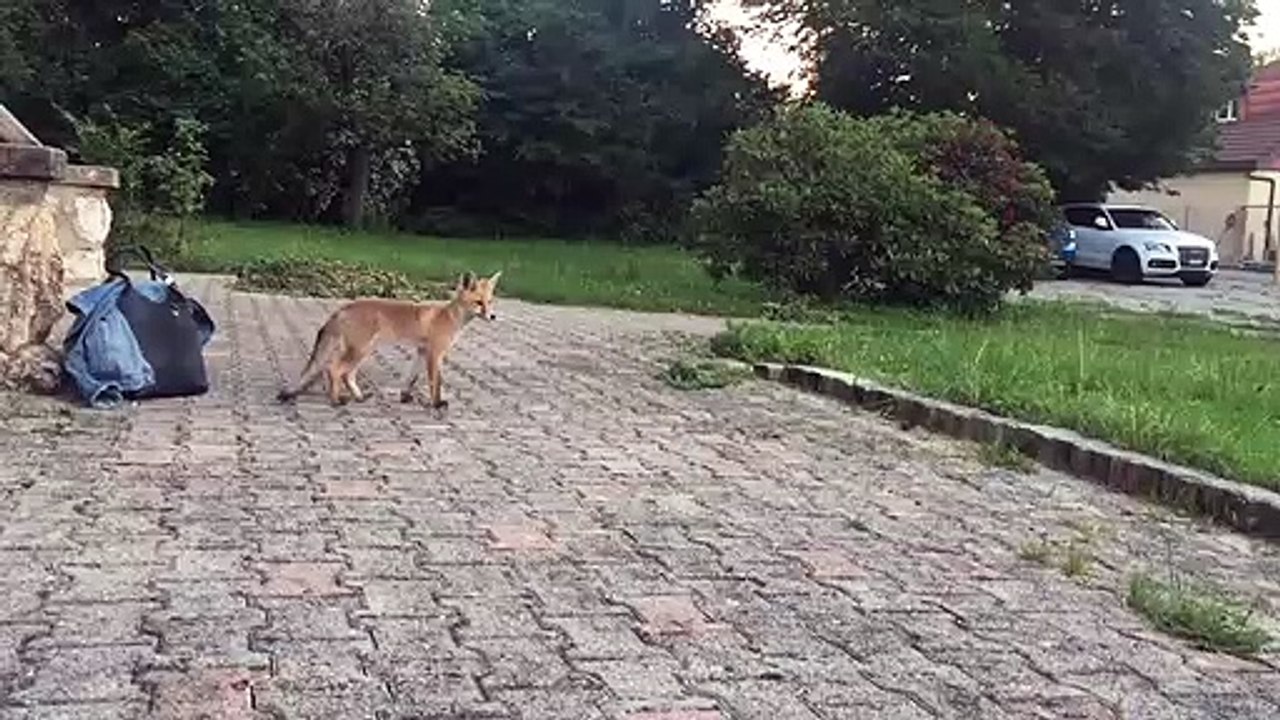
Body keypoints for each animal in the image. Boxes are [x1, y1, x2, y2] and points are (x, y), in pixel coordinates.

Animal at [276, 271, 502, 409]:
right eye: (478, 303)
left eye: (490, 301)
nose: (493, 316)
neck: (449, 317)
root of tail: (344, 308)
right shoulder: (435, 354)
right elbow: (435, 381)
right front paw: (437, 404)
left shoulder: (421, 352)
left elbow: (411, 378)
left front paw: (405, 396)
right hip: (360, 350)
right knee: (334, 370)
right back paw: (336, 400)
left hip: (363, 351)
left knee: (347, 375)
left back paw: (358, 397)